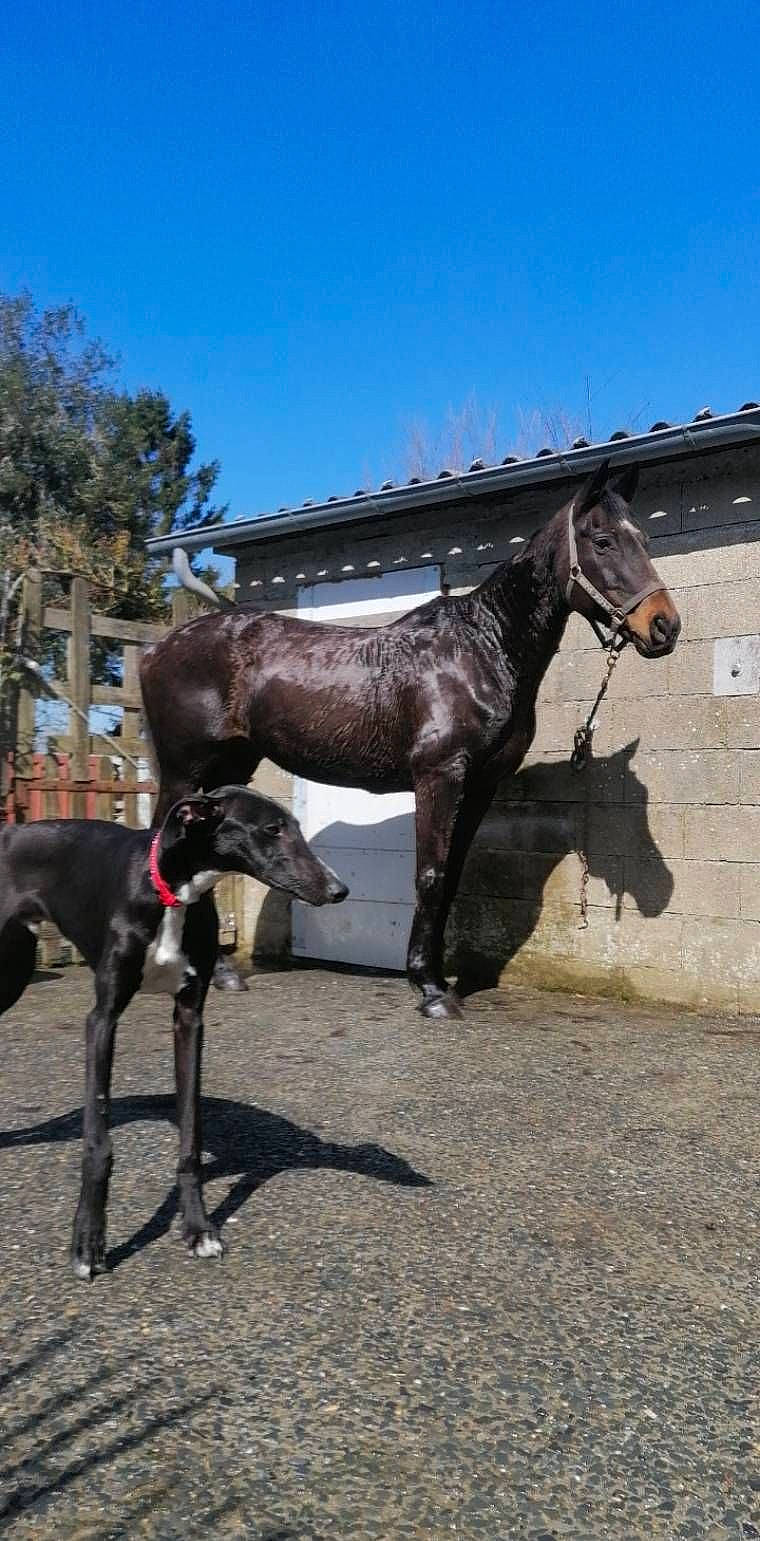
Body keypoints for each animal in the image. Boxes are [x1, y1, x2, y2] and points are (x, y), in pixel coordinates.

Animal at [139, 460, 681, 1020]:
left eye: (644, 538)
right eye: (603, 541)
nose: (664, 626)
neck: (483, 649)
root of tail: (159, 648)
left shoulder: (480, 786)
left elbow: (451, 878)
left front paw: (436, 976)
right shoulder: (439, 777)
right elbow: (430, 875)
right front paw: (431, 989)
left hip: (227, 771)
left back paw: (221, 971)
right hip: (184, 772)